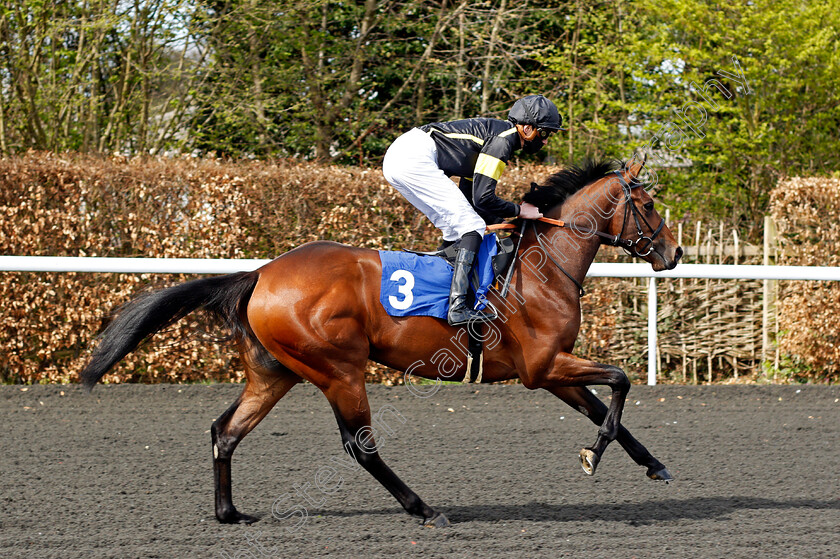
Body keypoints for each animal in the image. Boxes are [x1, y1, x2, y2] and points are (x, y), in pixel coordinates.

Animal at [79, 155, 684, 528]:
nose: (673, 254)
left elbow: (605, 406)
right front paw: (592, 456)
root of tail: (261, 274)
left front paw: (652, 464)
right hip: (339, 370)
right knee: (360, 446)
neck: (543, 264)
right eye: (649, 205)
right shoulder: (542, 367)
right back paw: (424, 509)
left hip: (276, 372)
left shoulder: (550, 367)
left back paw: (229, 513)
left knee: (224, 431)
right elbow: (621, 382)